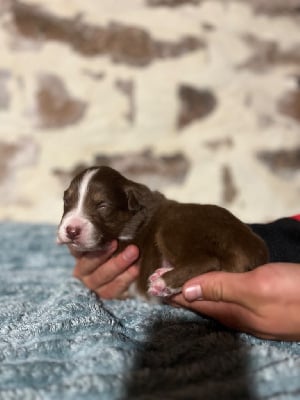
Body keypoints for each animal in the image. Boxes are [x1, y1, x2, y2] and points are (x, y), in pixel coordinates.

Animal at [56, 164, 270, 298]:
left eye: (102, 206)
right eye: (67, 200)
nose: (71, 230)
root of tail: (253, 249)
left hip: (172, 227)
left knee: (207, 260)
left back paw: (163, 283)